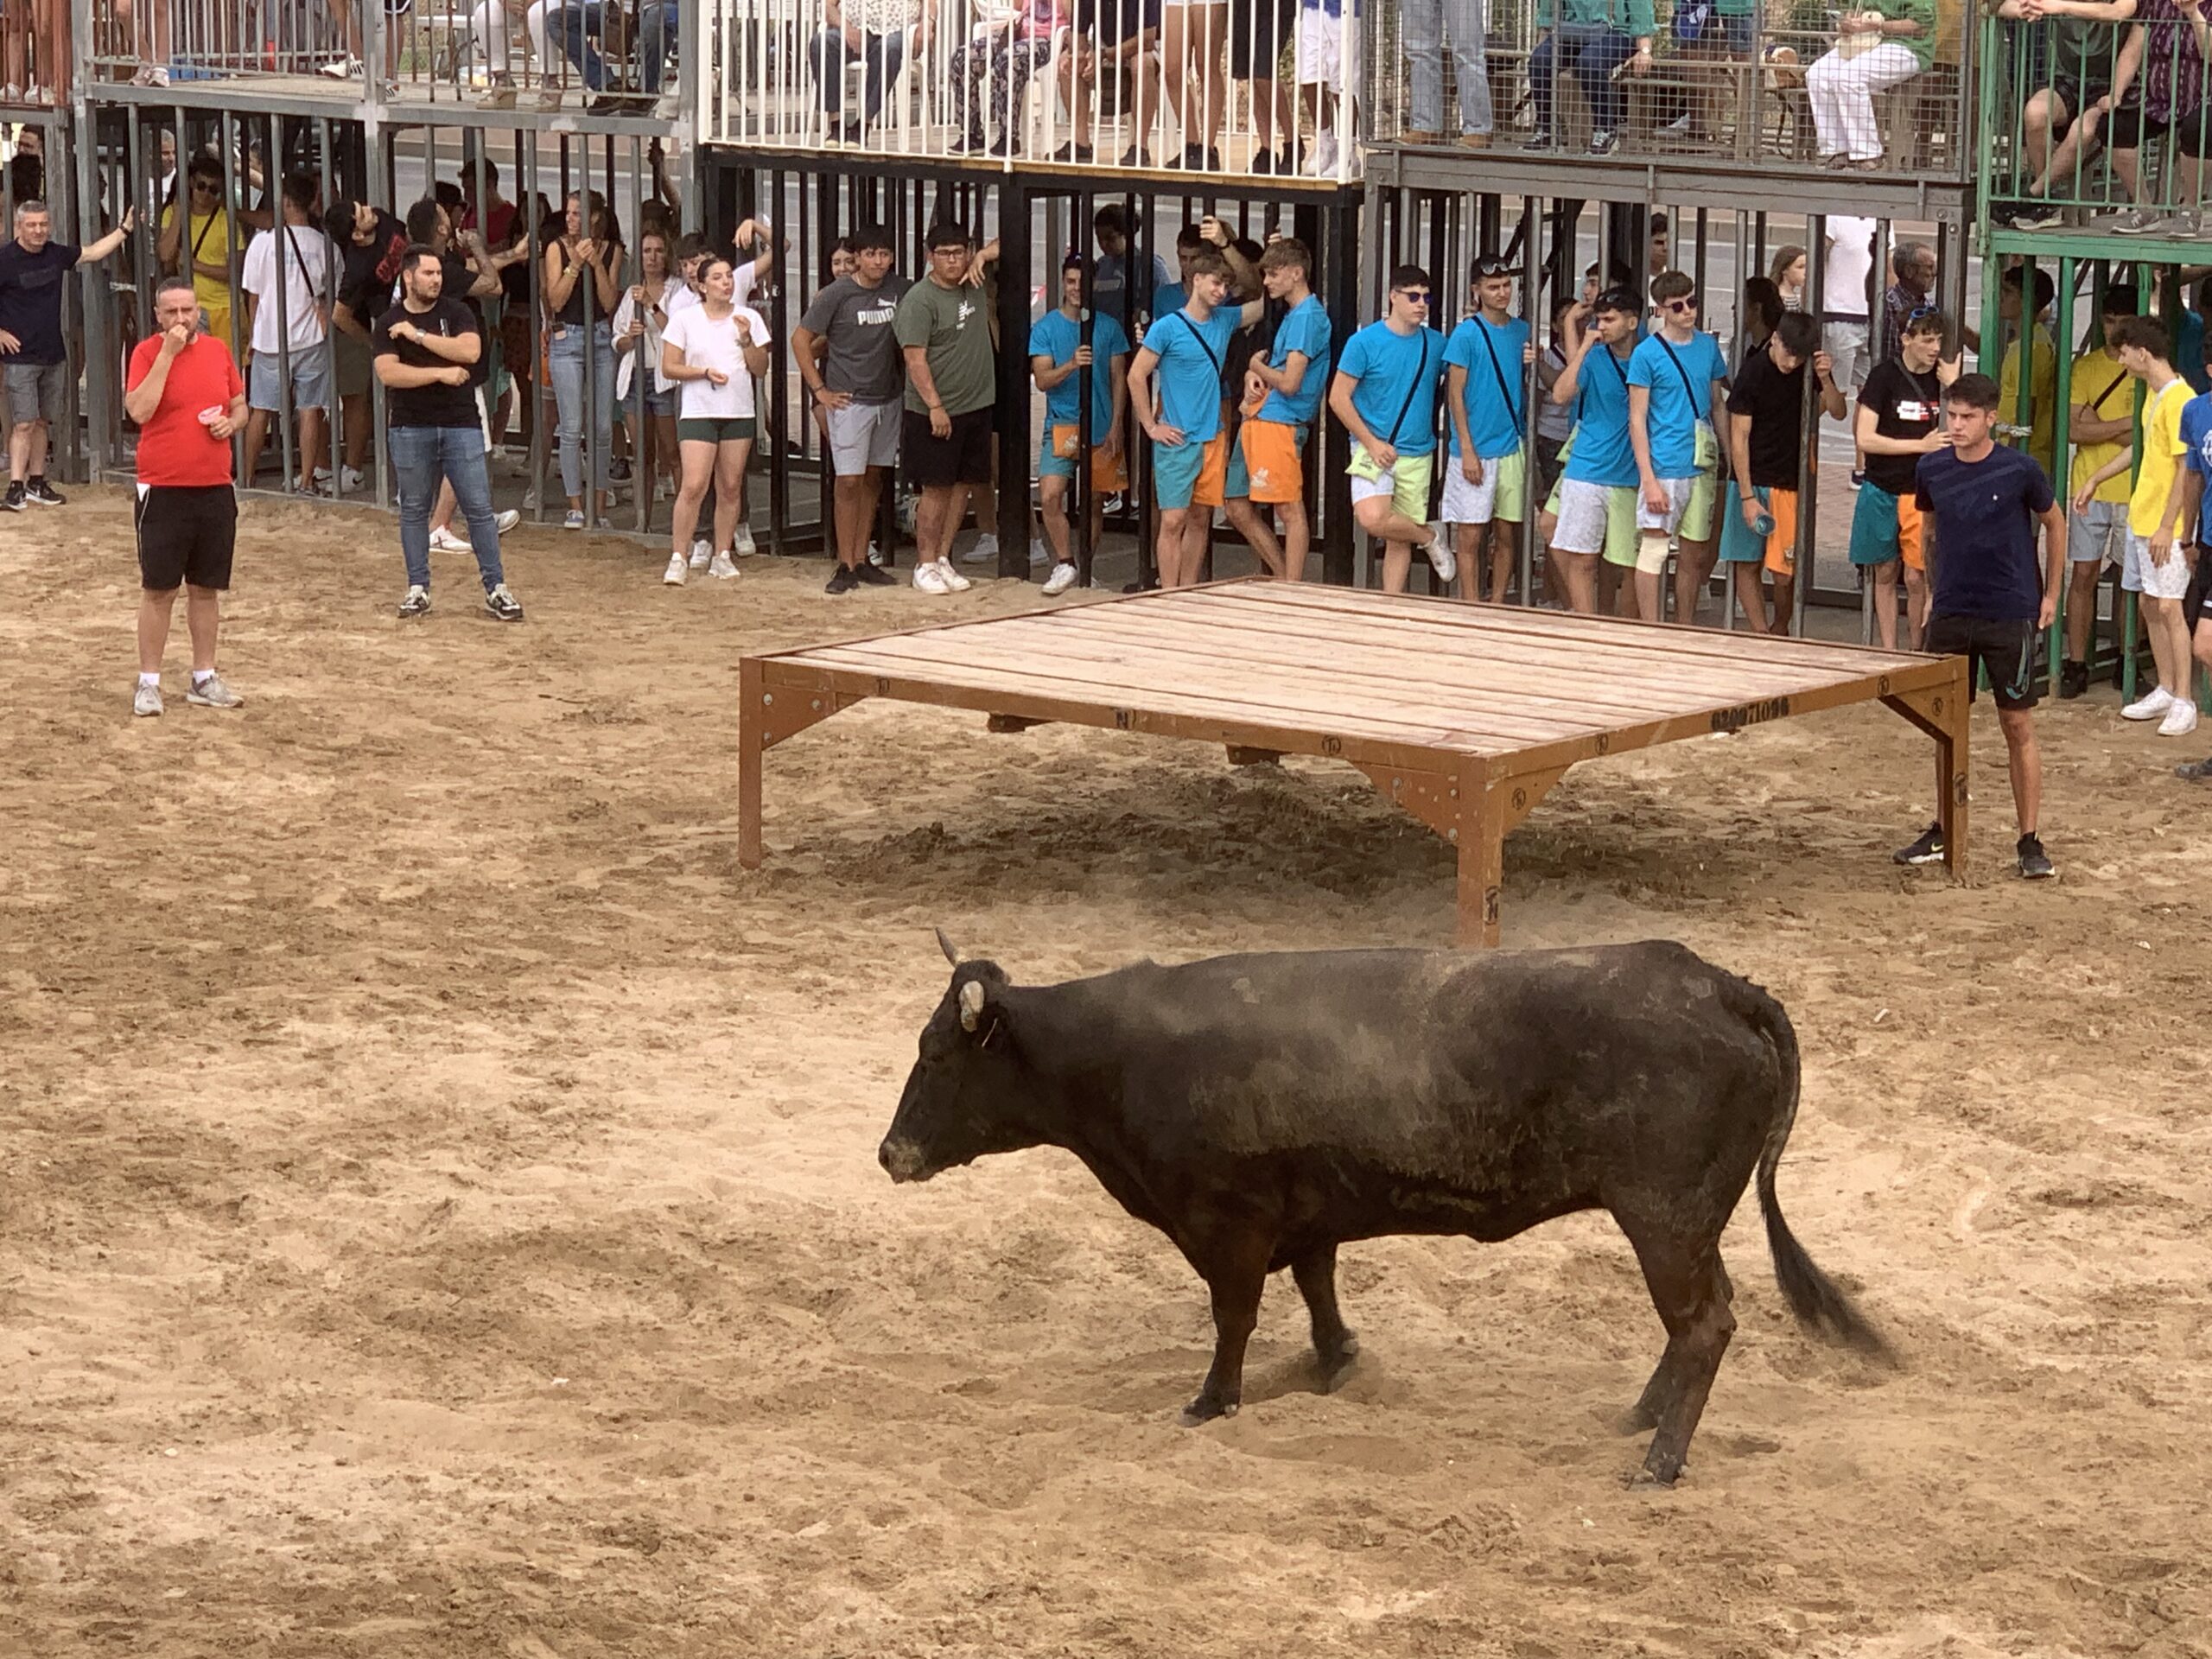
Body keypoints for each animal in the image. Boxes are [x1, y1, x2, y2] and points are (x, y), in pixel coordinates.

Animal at [875, 942, 1885, 1486]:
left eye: (937, 1055)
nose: (890, 1153)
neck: (1120, 1055)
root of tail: (1715, 982)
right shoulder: (1307, 1215)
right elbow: (1318, 1288)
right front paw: (1337, 1363)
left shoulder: (1227, 1225)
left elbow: (1233, 1317)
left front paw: (1211, 1401)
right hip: (1687, 1225)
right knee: (1699, 1323)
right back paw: (1638, 1418)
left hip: (1664, 1219)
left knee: (1703, 1324)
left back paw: (1659, 1463)